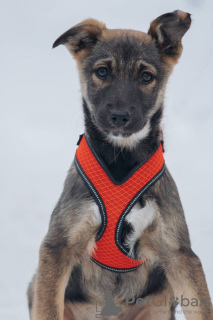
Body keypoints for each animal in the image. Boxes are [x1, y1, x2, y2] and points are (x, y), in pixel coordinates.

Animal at [27, 10, 213, 320]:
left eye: (146, 76)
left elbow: (201, 305)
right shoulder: (58, 245)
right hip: (35, 285)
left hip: (161, 297)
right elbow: (48, 309)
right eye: (102, 72)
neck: (121, 160)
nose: (119, 116)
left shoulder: (179, 253)